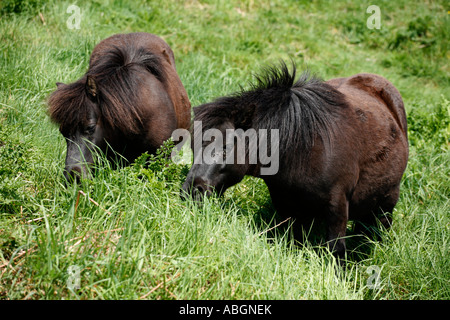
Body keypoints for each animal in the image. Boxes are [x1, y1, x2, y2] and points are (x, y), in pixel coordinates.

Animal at [181, 63, 410, 260]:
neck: (302, 150)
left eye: (226, 148)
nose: (192, 190)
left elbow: (336, 251)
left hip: (385, 206)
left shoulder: (337, 208)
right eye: (193, 146)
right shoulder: (287, 207)